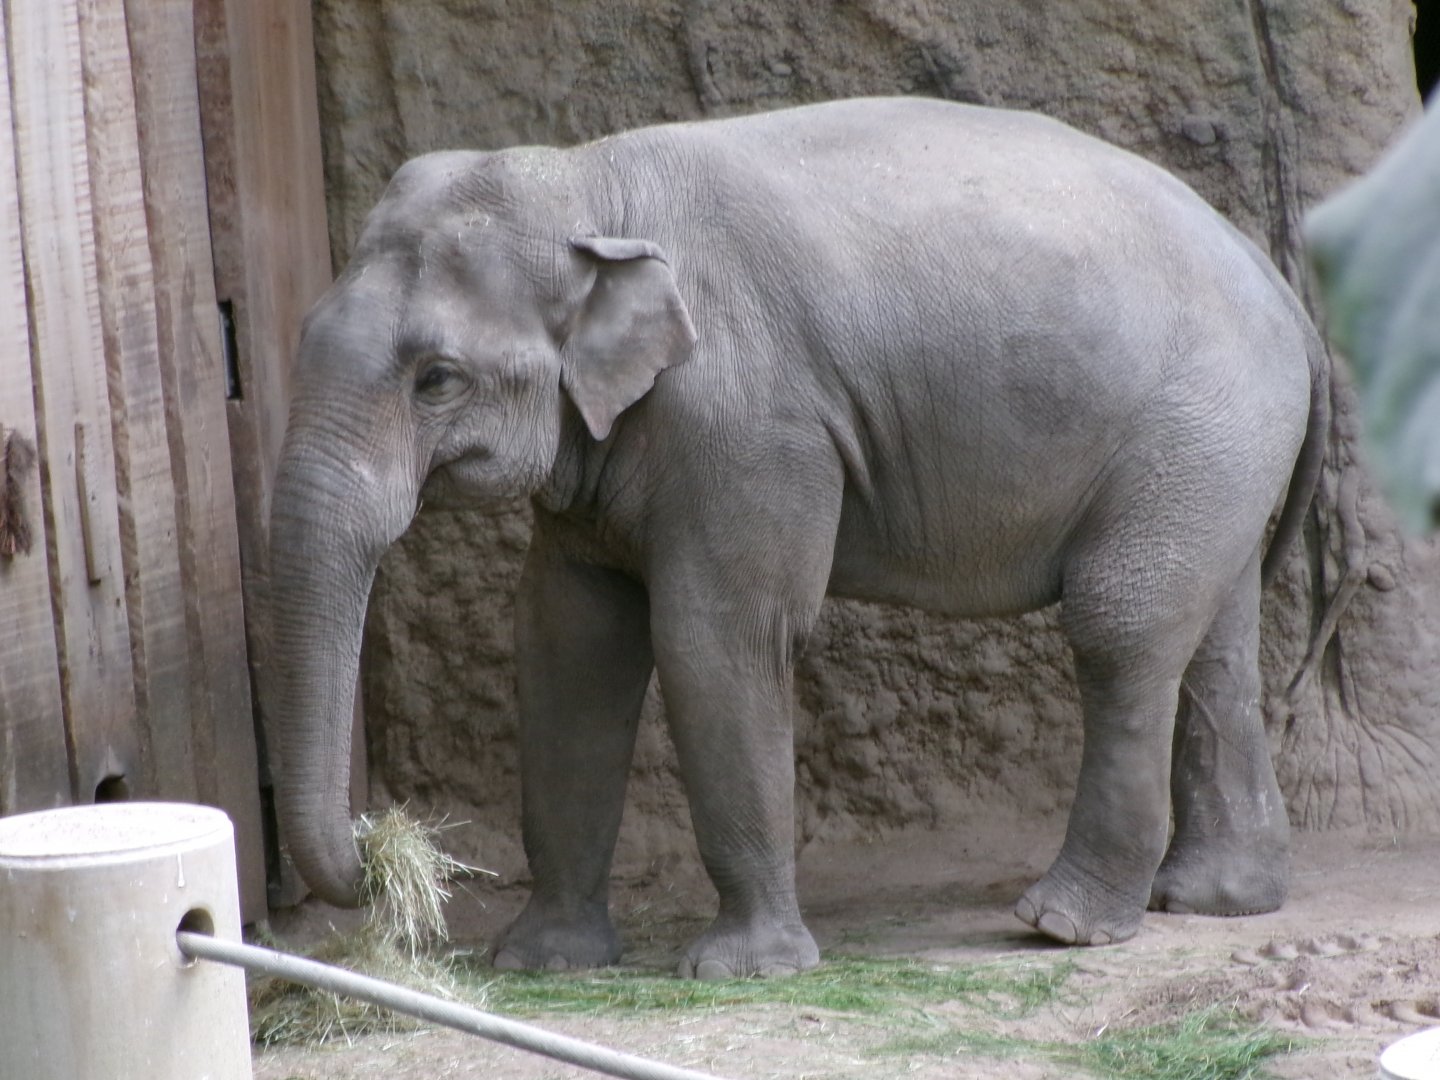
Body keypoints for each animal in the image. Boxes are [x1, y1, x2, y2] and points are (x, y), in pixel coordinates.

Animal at [270, 96, 1328, 979]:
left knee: (1122, 628)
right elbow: (569, 643)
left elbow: (717, 638)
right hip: (1220, 450)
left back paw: (1063, 924)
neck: (589, 182)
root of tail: (1284, 289)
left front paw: (742, 972)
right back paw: (1212, 899)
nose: (378, 851)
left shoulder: (748, 421)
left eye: (437, 379)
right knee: (1218, 641)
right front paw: (540, 964)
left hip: (1196, 418)